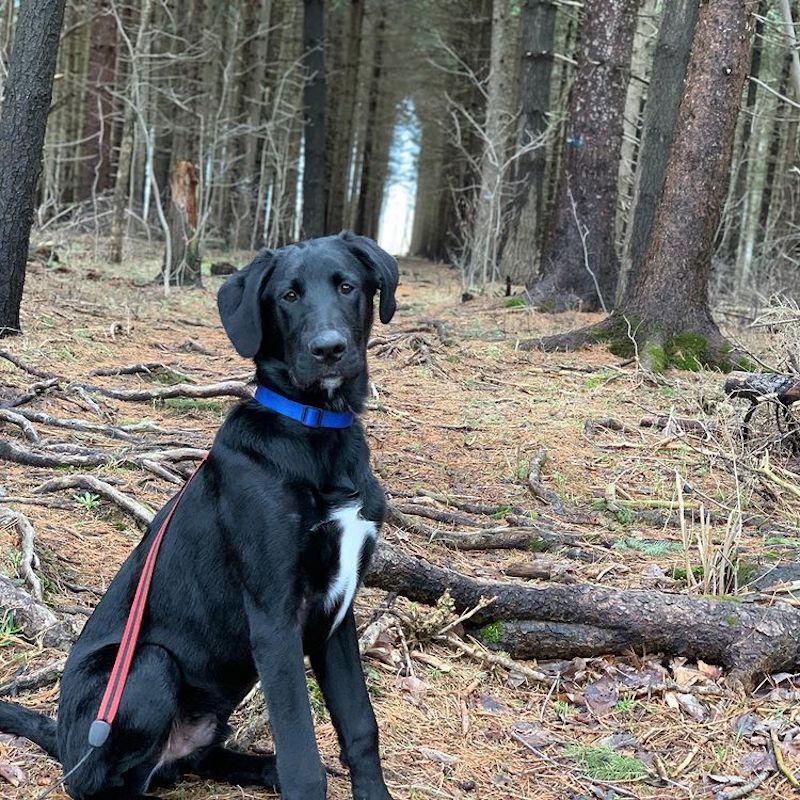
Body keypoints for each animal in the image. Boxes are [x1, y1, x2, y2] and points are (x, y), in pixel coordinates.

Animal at [0, 231, 398, 800]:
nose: (328, 350)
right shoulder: (274, 615)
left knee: (193, 761)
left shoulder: (336, 613)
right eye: (288, 296)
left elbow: (361, 727)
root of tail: (65, 742)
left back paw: (258, 769)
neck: (316, 431)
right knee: (108, 783)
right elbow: (302, 751)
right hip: (145, 667)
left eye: (347, 286)